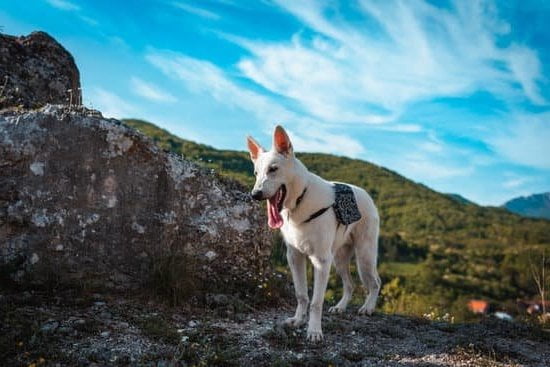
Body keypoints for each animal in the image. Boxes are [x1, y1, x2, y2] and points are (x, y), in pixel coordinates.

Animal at [248, 126, 382, 342]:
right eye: (256, 173)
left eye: (273, 169)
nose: (255, 195)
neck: (299, 201)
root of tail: (364, 193)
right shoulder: (295, 257)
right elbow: (302, 295)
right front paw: (297, 320)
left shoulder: (320, 262)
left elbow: (316, 302)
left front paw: (314, 330)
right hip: (339, 260)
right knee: (350, 285)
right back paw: (340, 307)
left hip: (364, 257)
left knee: (375, 282)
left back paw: (368, 308)